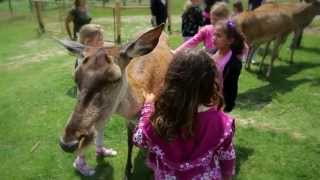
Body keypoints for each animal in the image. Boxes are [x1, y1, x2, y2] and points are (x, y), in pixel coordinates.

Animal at [57, 24, 172, 178]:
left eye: (115, 78)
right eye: (75, 77)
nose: (67, 143)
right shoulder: (128, 121)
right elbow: (129, 141)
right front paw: (128, 170)